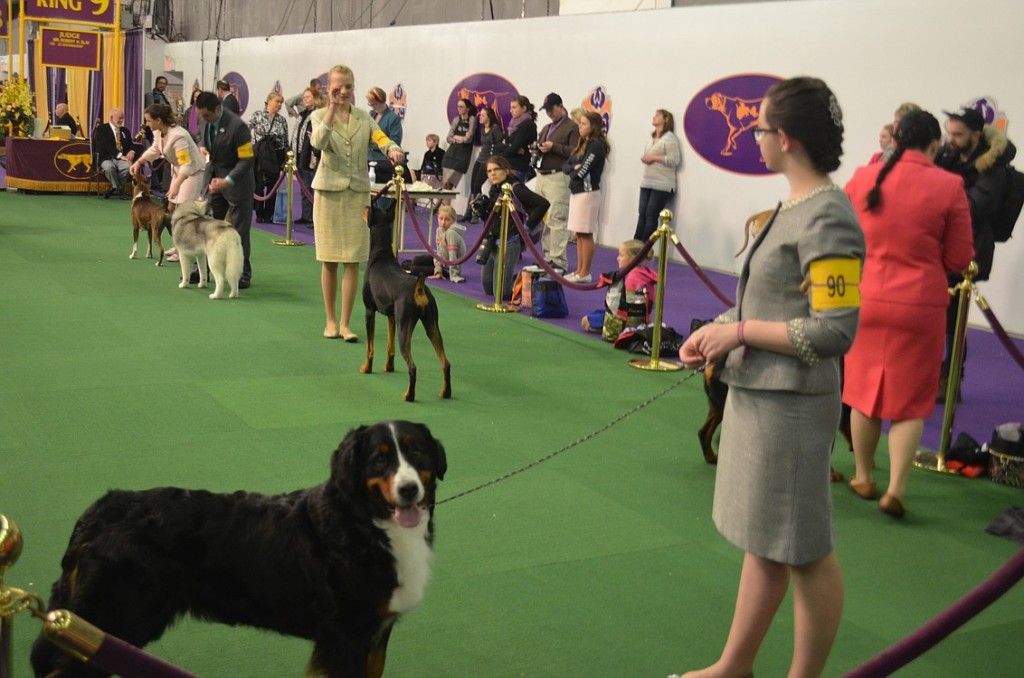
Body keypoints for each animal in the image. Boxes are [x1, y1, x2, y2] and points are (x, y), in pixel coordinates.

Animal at [30, 421, 448, 675]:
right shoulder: (347, 633)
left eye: (417, 454)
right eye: (379, 458)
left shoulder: (375, 632)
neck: (367, 524)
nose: (409, 489)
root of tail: (102, 510)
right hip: (105, 620)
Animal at [364, 202, 452, 403]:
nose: (364, 206)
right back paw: (446, 392)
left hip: (405, 328)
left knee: (412, 366)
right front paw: (388, 366)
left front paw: (366, 368)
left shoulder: (369, 311)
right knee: (446, 363)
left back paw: (409, 395)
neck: (381, 255)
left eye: (370, 210)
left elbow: (370, 347)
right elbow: (390, 346)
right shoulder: (391, 316)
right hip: (432, 326)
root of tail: (419, 288)